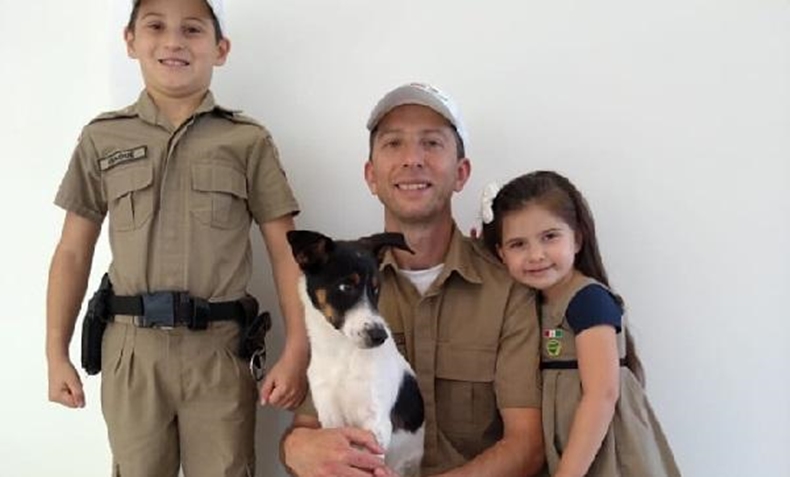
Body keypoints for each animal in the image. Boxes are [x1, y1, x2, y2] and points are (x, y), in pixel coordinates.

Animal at [287, 230, 425, 476]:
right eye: (346, 287)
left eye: (376, 289)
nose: (380, 336)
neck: (341, 353)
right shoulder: (331, 421)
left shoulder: (377, 425)